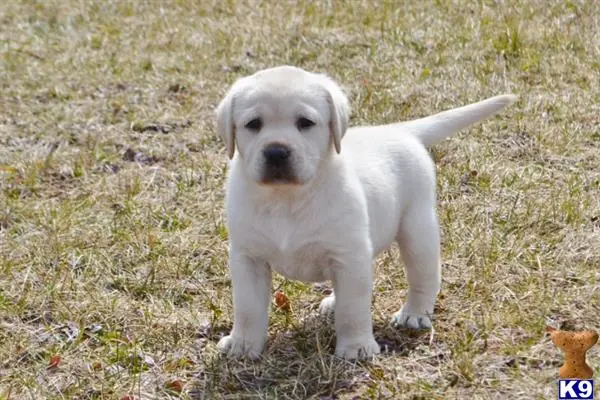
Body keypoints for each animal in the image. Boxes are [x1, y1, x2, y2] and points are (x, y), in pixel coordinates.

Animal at [212, 65, 516, 360]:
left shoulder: (348, 254)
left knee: (423, 276)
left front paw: (357, 347)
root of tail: (399, 130)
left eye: (305, 123)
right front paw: (243, 344)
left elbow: (353, 310)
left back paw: (415, 313)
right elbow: (248, 308)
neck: (286, 199)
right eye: (253, 124)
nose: (276, 152)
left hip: (417, 230)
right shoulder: (248, 258)